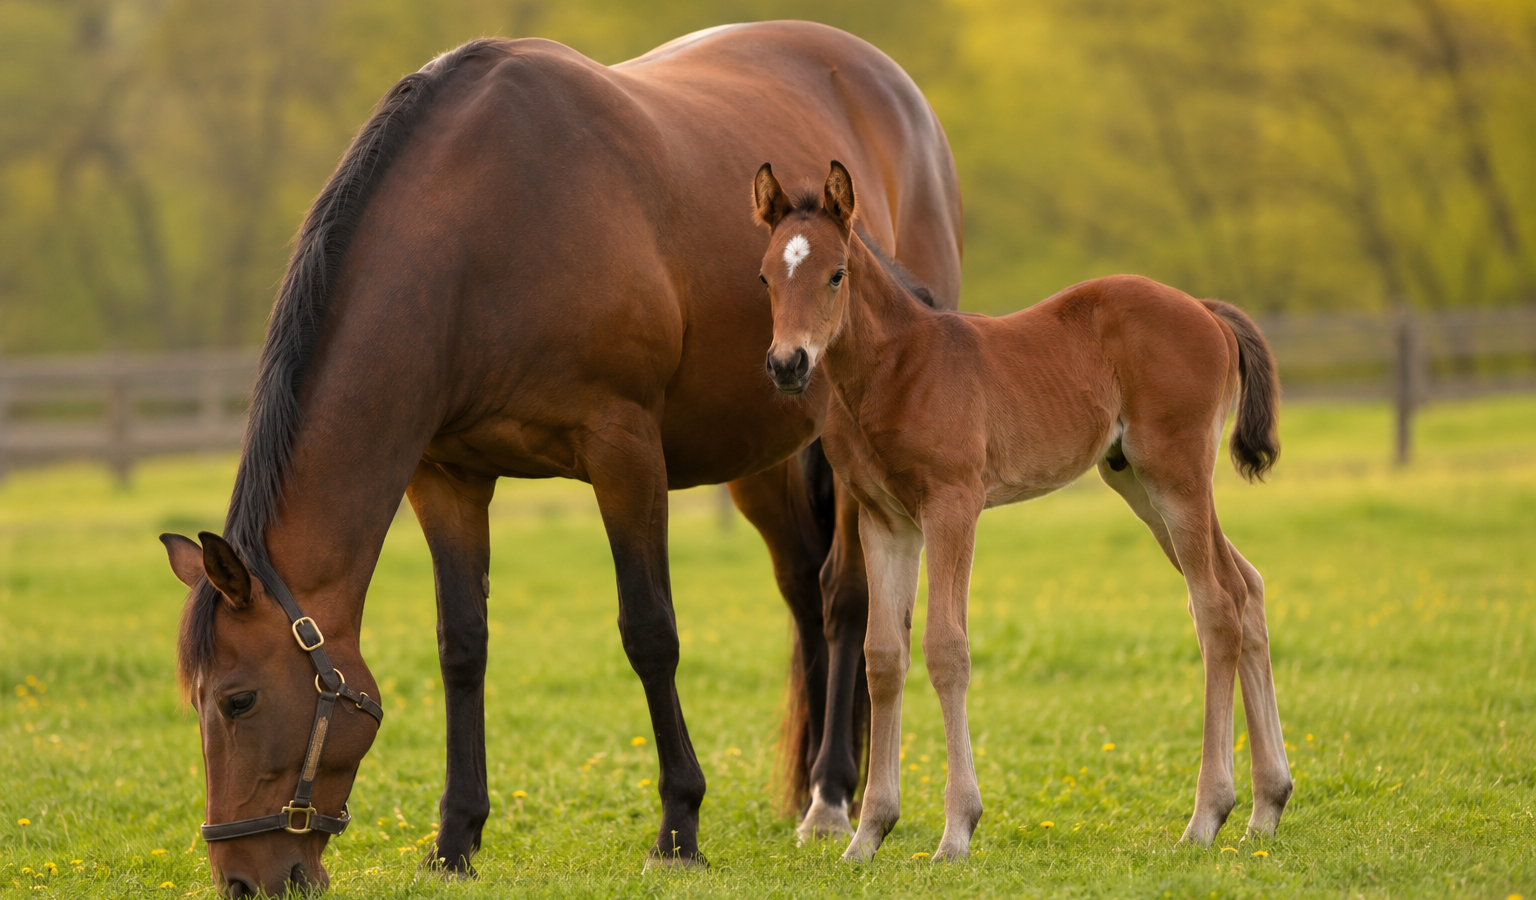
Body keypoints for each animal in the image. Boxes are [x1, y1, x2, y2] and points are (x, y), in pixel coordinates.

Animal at [156, 25, 961, 897]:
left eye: (237, 701)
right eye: (196, 700)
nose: (242, 879)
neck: (484, 230)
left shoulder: (624, 450)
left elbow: (650, 632)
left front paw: (679, 827)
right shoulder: (446, 476)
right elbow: (462, 645)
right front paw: (455, 839)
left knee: (846, 599)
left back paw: (831, 800)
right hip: (764, 461)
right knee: (804, 593)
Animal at [750, 161, 1293, 862]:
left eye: (836, 273)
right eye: (766, 275)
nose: (787, 364)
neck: (897, 368)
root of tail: (1205, 309)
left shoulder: (953, 504)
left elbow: (946, 648)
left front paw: (957, 831)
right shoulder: (884, 520)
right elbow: (884, 657)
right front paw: (868, 835)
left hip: (1176, 475)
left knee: (1217, 608)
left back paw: (1207, 816)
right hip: (1139, 485)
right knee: (1245, 585)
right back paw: (1267, 806)